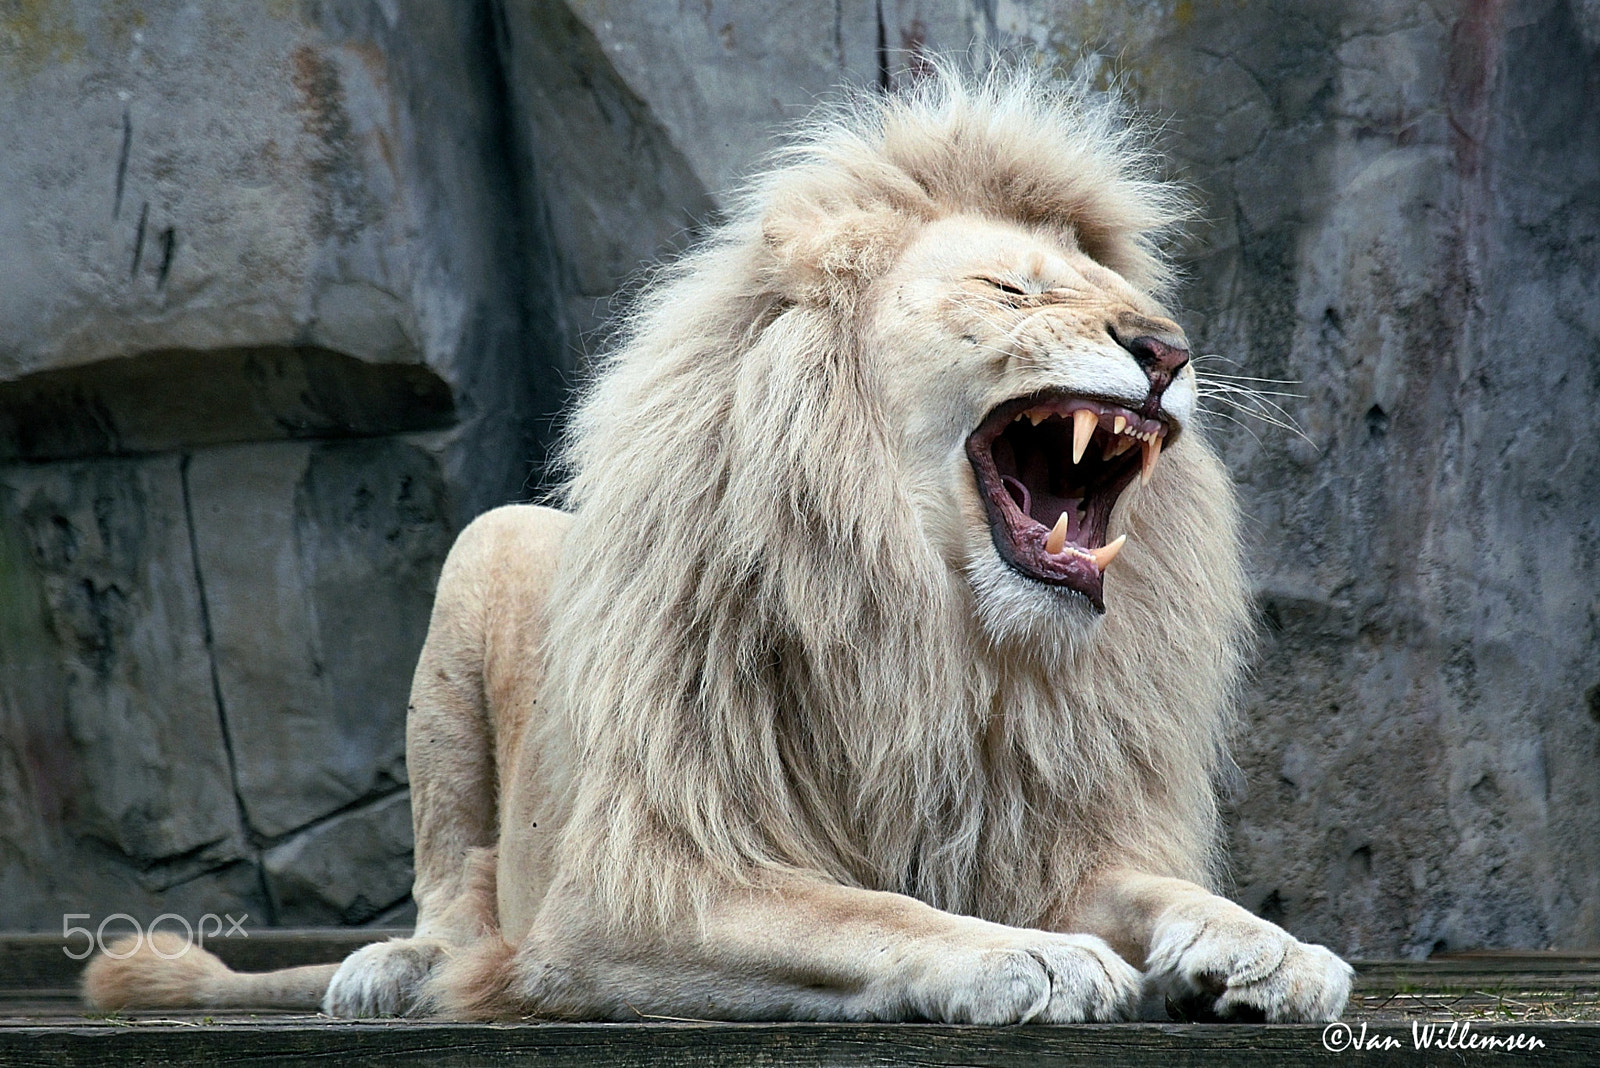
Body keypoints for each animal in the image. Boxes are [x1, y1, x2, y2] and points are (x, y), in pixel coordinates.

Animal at [84, 67, 1352, 1024]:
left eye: (1135, 301)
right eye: (1013, 289)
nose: (1167, 350)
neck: (937, 633)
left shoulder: (1029, 844)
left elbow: (1152, 887)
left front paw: (1270, 949)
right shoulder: (631, 881)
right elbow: (867, 911)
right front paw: (1026, 958)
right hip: (484, 558)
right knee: (452, 880)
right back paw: (398, 969)